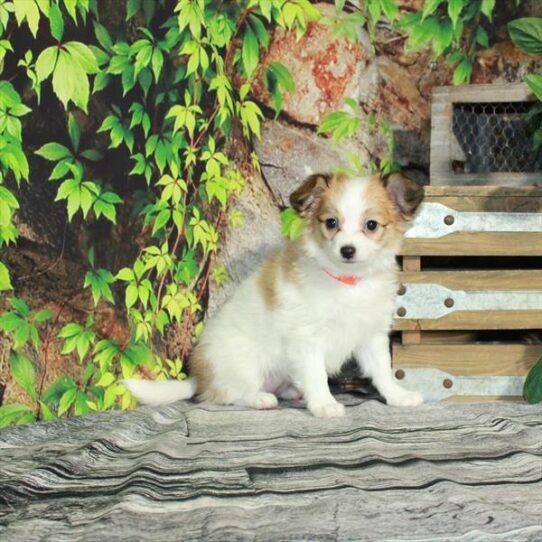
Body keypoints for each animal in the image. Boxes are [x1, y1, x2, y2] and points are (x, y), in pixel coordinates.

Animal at [125, 174, 428, 420]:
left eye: (371, 225)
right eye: (331, 223)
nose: (347, 250)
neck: (347, 283)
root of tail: (200, 377)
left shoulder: (371, 335)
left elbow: (382, 371)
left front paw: (397, 395)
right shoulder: (307, 339)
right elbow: (316, 375)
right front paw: (324, 404)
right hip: (244, 363)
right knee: (228, 395)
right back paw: (260, 398)